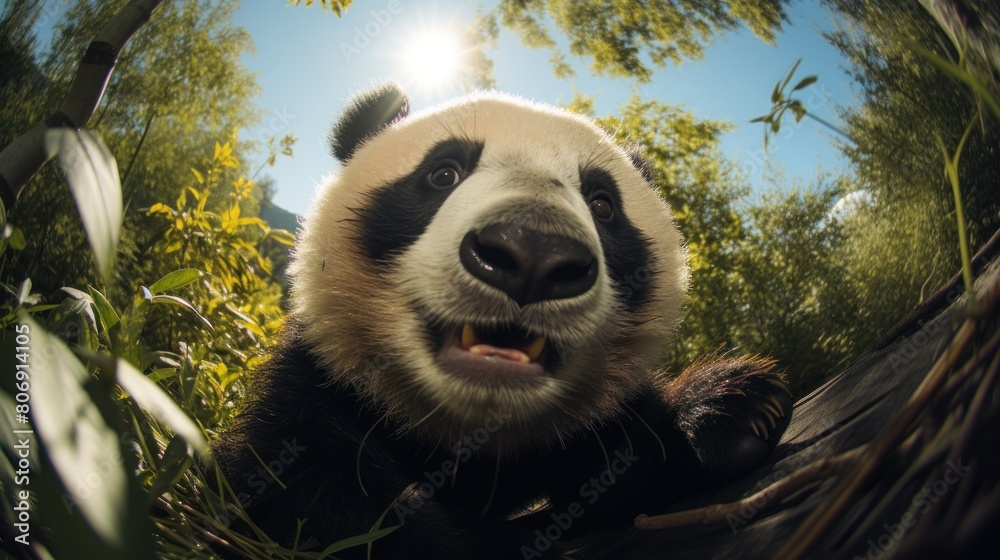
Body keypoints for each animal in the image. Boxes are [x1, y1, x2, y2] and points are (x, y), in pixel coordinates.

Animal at [213, 83, 793, 559]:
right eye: (443, 173)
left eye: (603, 204)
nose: (533, 253)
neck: (474, 434)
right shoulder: (319, 381)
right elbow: (307, 492)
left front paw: (731, 410)